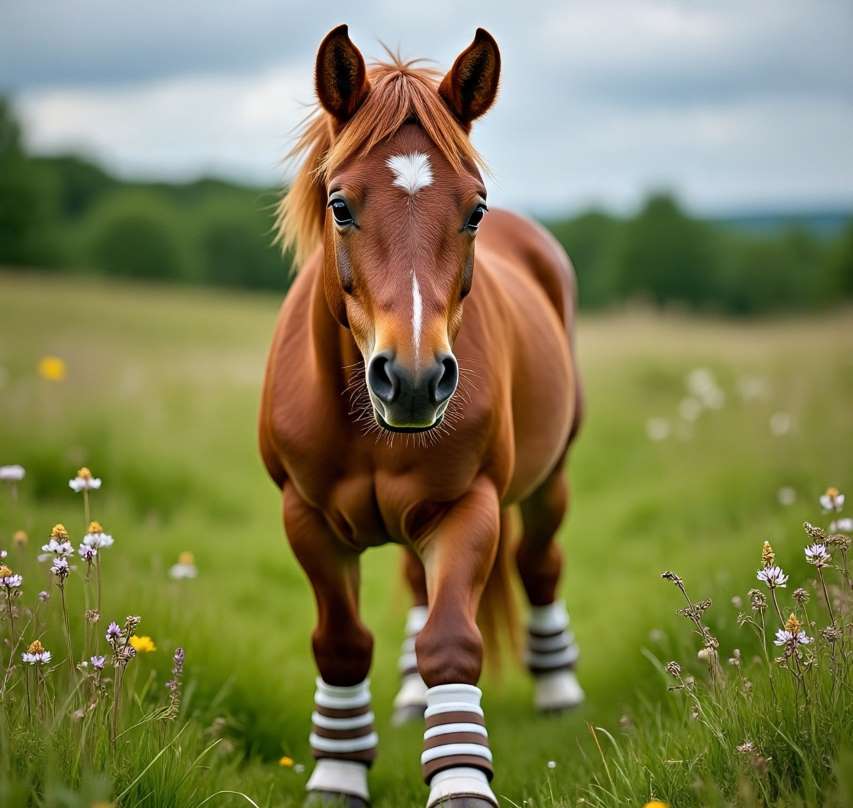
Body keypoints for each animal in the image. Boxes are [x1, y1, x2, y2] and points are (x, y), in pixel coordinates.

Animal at [259, 24, 583, 808]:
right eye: (340, 205)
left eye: (474, 210)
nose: (411, 380)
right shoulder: (304, 517)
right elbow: (341, 645)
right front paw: (338, 775)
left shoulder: (468, 507)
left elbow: (451, 643)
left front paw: (460, 782)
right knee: (413, 582)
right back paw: (409, 699)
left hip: (550, 476)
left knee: (539, 563)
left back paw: (557, 689)